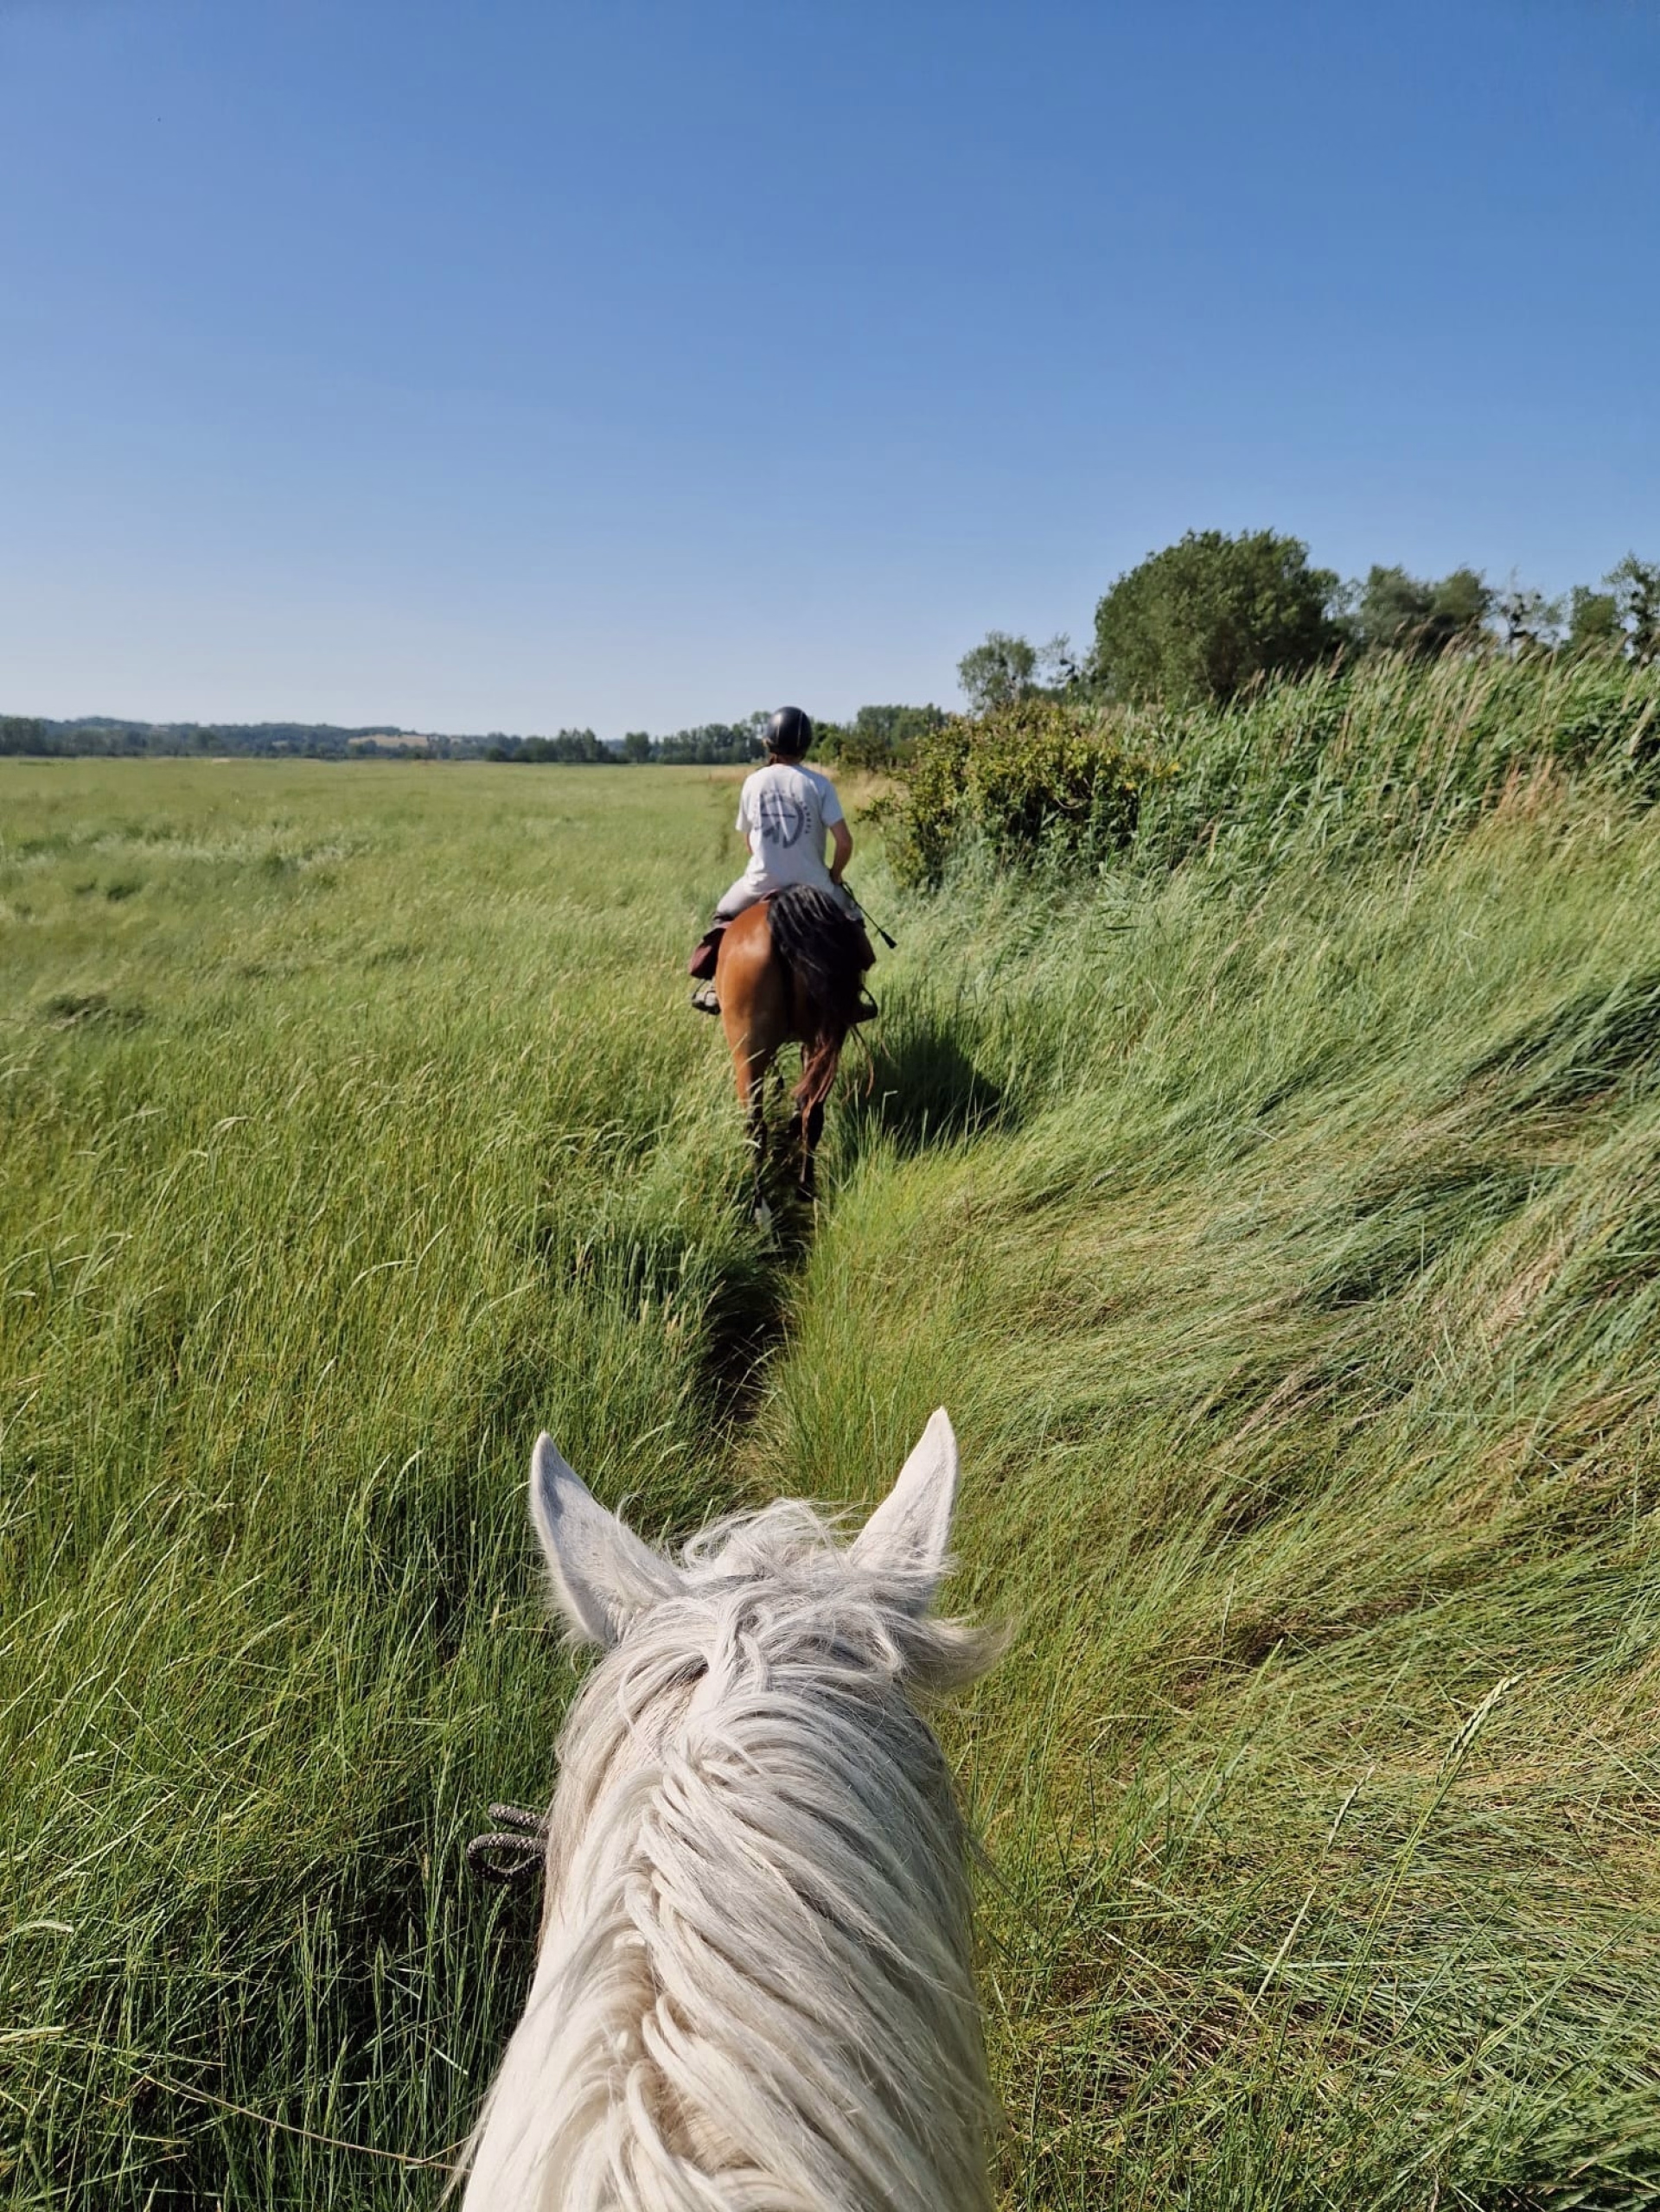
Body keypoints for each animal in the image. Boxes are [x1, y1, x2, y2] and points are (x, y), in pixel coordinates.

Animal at [715, 885, 873, 1220]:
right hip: (824, 1037)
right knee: (813, 1110)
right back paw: (805, 1186)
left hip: (747, 1053)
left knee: (755, 1127)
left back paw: (761, 1208)